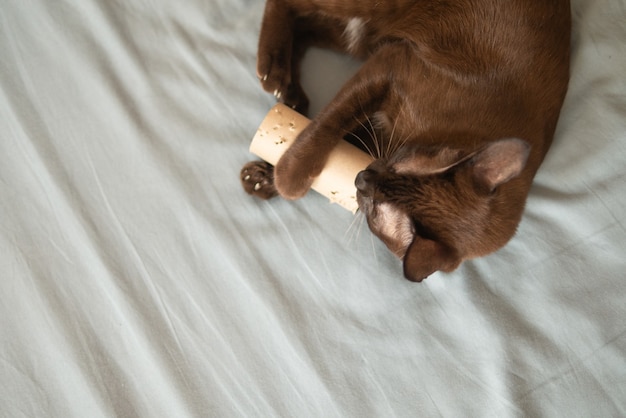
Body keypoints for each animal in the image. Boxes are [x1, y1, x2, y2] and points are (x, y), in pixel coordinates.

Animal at [240, 0, 572, 282]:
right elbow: (327, 126)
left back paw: (290, 94)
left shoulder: (375, 121)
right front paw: (287, 176)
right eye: (400, 164)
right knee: (290, 4)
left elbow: (336, 141)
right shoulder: (391, 66)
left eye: (374, 210)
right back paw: (274, 72)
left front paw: (266, 178)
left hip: (362, 38)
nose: (361, 178)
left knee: (307, 25)